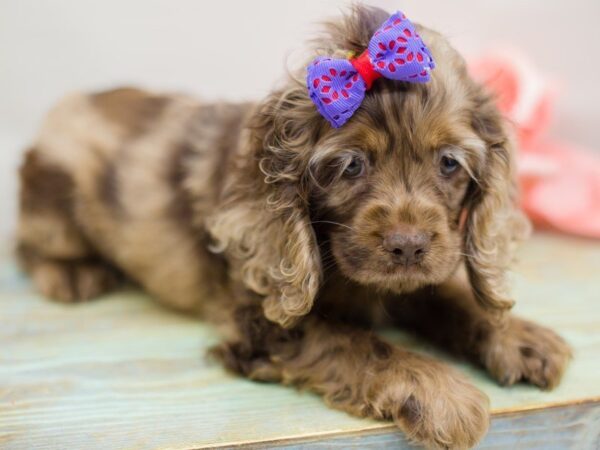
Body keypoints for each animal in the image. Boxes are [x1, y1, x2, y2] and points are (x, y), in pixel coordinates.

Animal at [17, 5, 572, 448]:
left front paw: (517, 336)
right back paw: (72, 272)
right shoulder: (263, 321)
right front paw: (443, 392)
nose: (408, 246)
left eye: (449, 162)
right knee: (27, 242)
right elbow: (359, 344)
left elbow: (449, 296)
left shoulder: (411, 277)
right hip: (52, 198)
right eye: (351, 165)